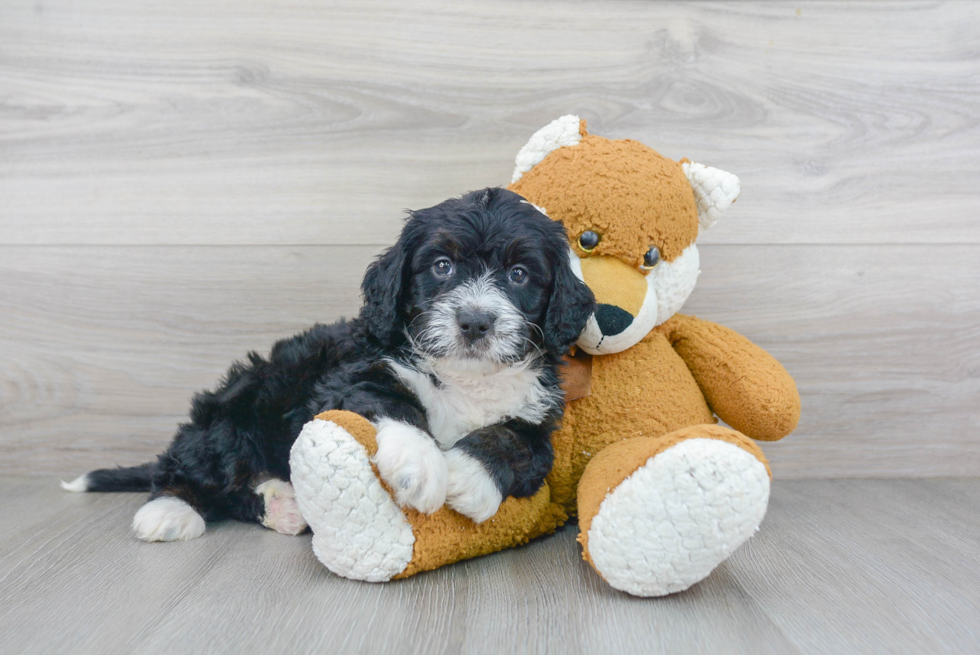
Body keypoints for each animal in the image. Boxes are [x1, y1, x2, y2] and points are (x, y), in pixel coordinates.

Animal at [65, 187, 596, 540]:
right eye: (441, 266)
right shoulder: (349, 376)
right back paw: (171, 512)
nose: (475, 321)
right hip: (233, 413)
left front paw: (468, 476)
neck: (463, 378)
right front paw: (420, 465)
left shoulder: (538, 418)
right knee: (191, 468)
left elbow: (515, 441)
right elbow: (395, 401)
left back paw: (283, 505)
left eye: (519, 274)